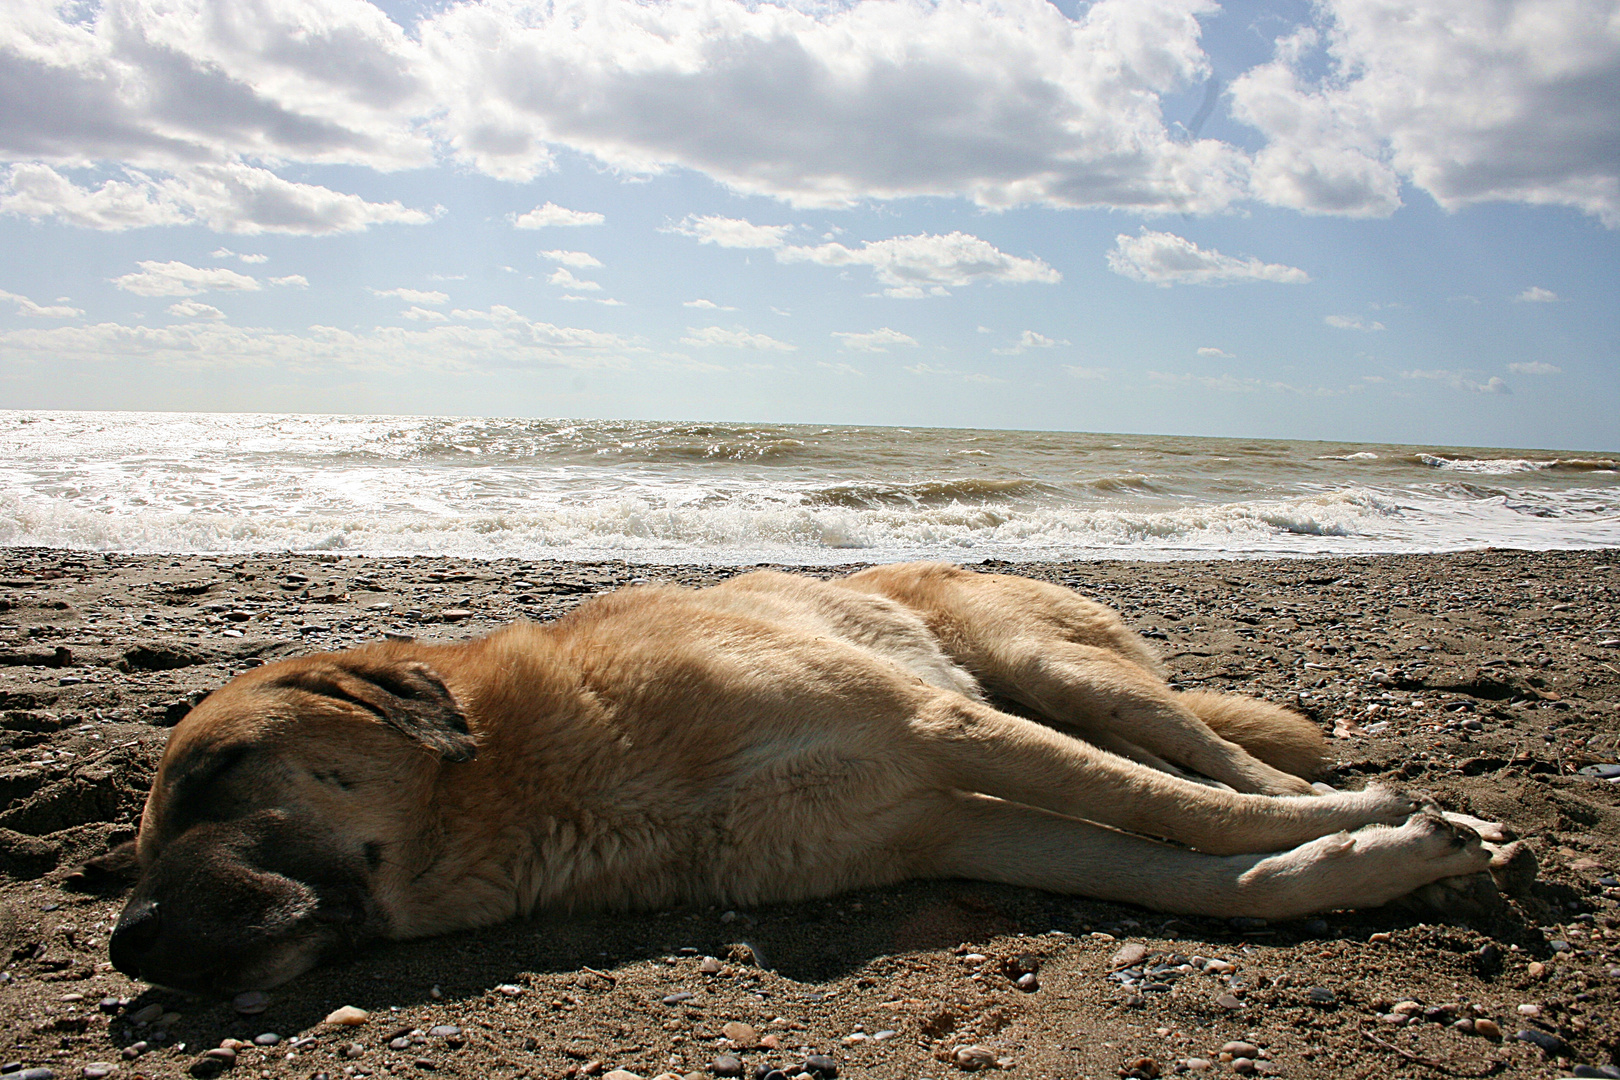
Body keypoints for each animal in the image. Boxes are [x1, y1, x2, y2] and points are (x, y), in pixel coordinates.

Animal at [98, 566, 1490, 997]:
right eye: (136, 847)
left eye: (219, 771)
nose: (127, 945)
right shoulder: (953, 823)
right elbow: (1202, 877)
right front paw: (1365, 863)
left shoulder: (937, 730)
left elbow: (1186, 811)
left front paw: (1376, 825)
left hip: (1044, 667)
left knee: (1204, 755)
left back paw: (1349, 793)